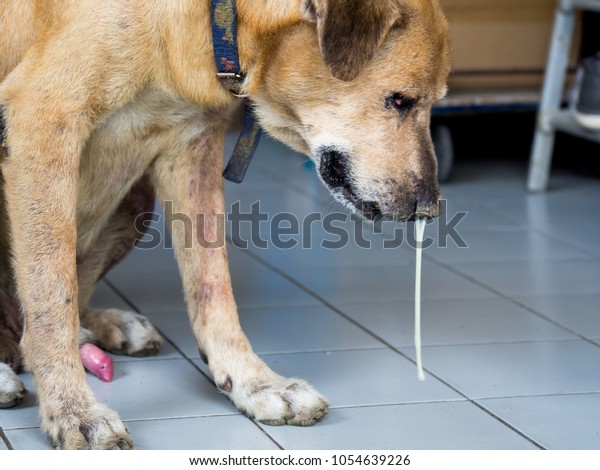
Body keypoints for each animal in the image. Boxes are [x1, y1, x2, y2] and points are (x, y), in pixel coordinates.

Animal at [0, 0, 450, 448]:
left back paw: (106, 327)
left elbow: (213, 288)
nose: (430, 210)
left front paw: (254, 382)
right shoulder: (44, 125)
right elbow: (51, 299)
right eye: (399, 100)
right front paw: (72, 409)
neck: (213, 19)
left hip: (137, 202)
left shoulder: (193, 145)